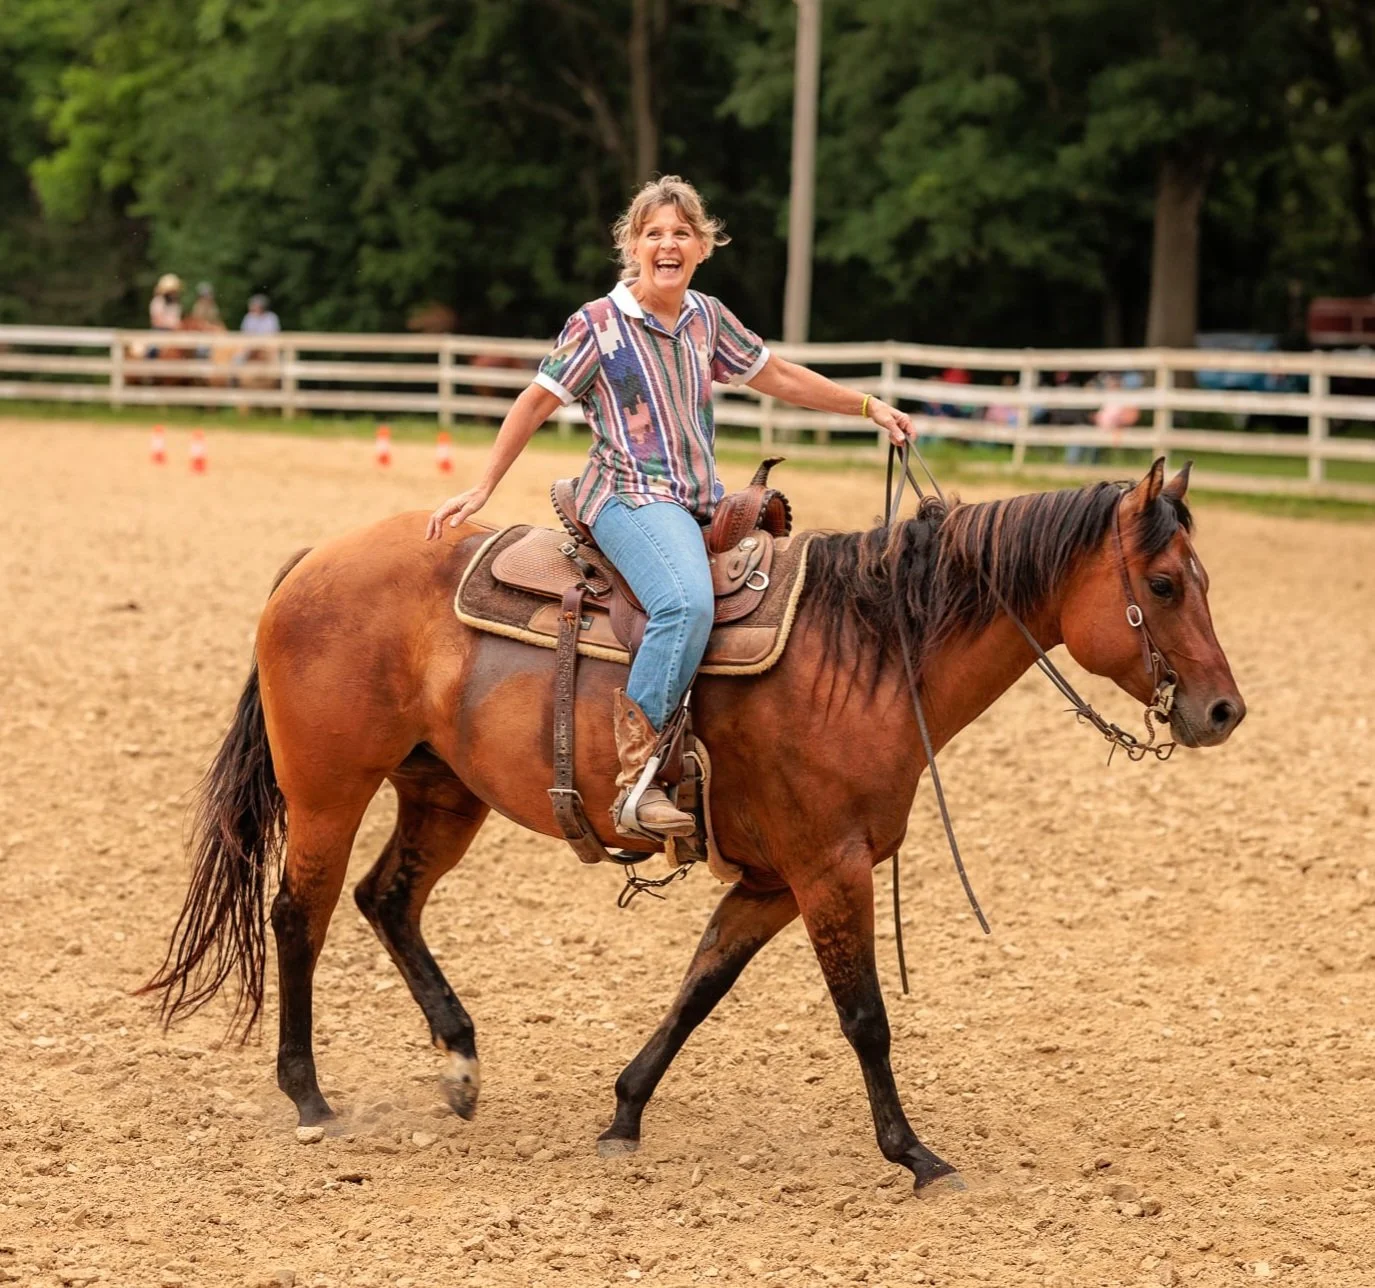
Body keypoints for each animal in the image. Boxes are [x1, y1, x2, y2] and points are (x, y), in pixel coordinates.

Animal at [144, 458, 1244, 1192]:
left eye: (1203, 577)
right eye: (1159, 583)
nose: (1222, 710)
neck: (868, 652)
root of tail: (310, 564)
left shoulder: (769, 881)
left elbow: (699, 989)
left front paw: (624, 1113)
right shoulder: (828, 868)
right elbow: (864, 1017)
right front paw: (916, 1154)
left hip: (442, 793)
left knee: (388, 900)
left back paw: (458, 1062)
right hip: (329, 789)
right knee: (302, 915)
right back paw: (308, 1096)